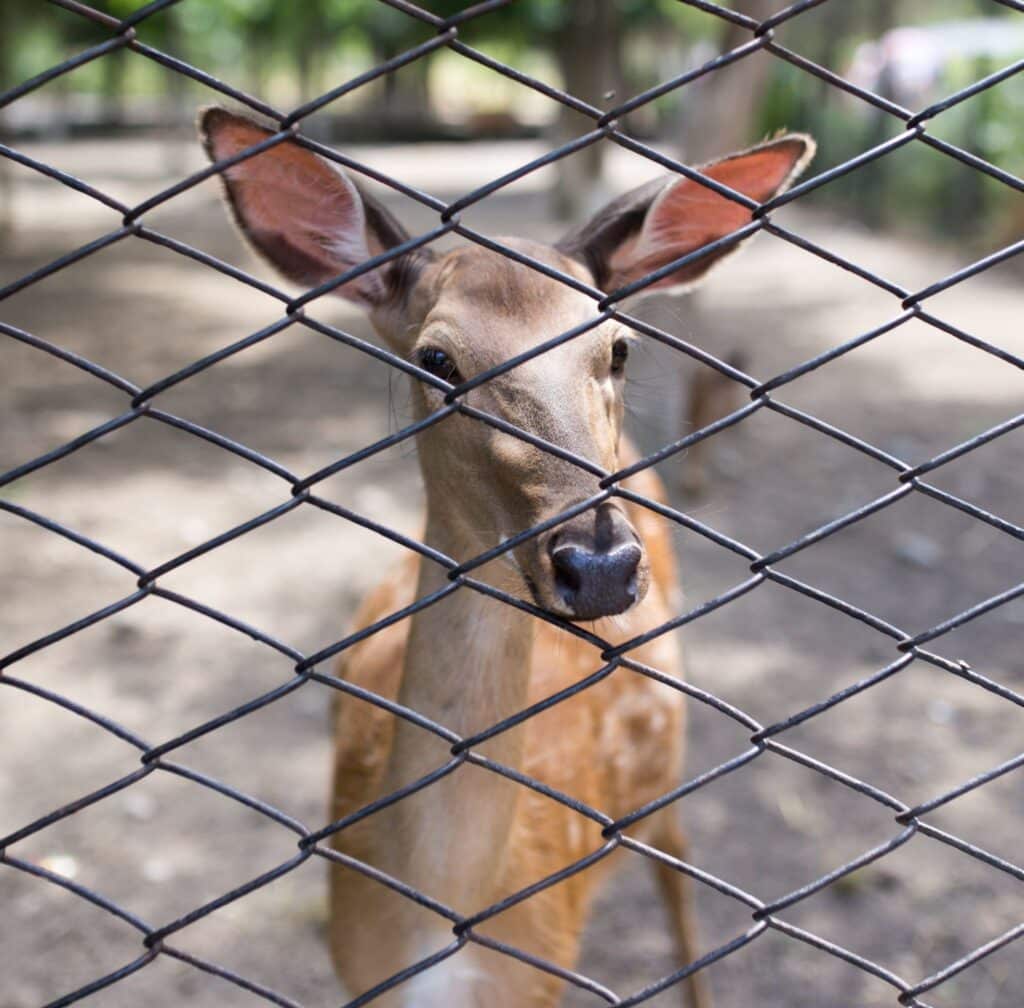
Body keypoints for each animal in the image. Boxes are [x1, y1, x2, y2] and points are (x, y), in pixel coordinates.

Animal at [197, 108, 806, 1008]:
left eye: (618, 349)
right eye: (436, 359)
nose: (599, 564)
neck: (447, 931)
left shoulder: (546, 972)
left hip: (668, 763)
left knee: (680, 872)